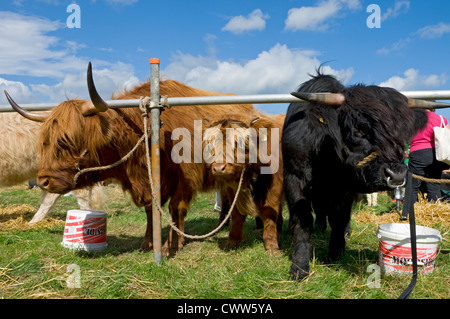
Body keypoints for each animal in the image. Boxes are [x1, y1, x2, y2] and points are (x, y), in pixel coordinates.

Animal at [284, 72, 428, 280]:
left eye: (403, 132)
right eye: (358, 130)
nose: (397, 174)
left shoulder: (344, 188)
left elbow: (339, 219)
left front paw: (336, 253)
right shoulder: (294, 179)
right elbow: (302, 222)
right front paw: (299, 266)